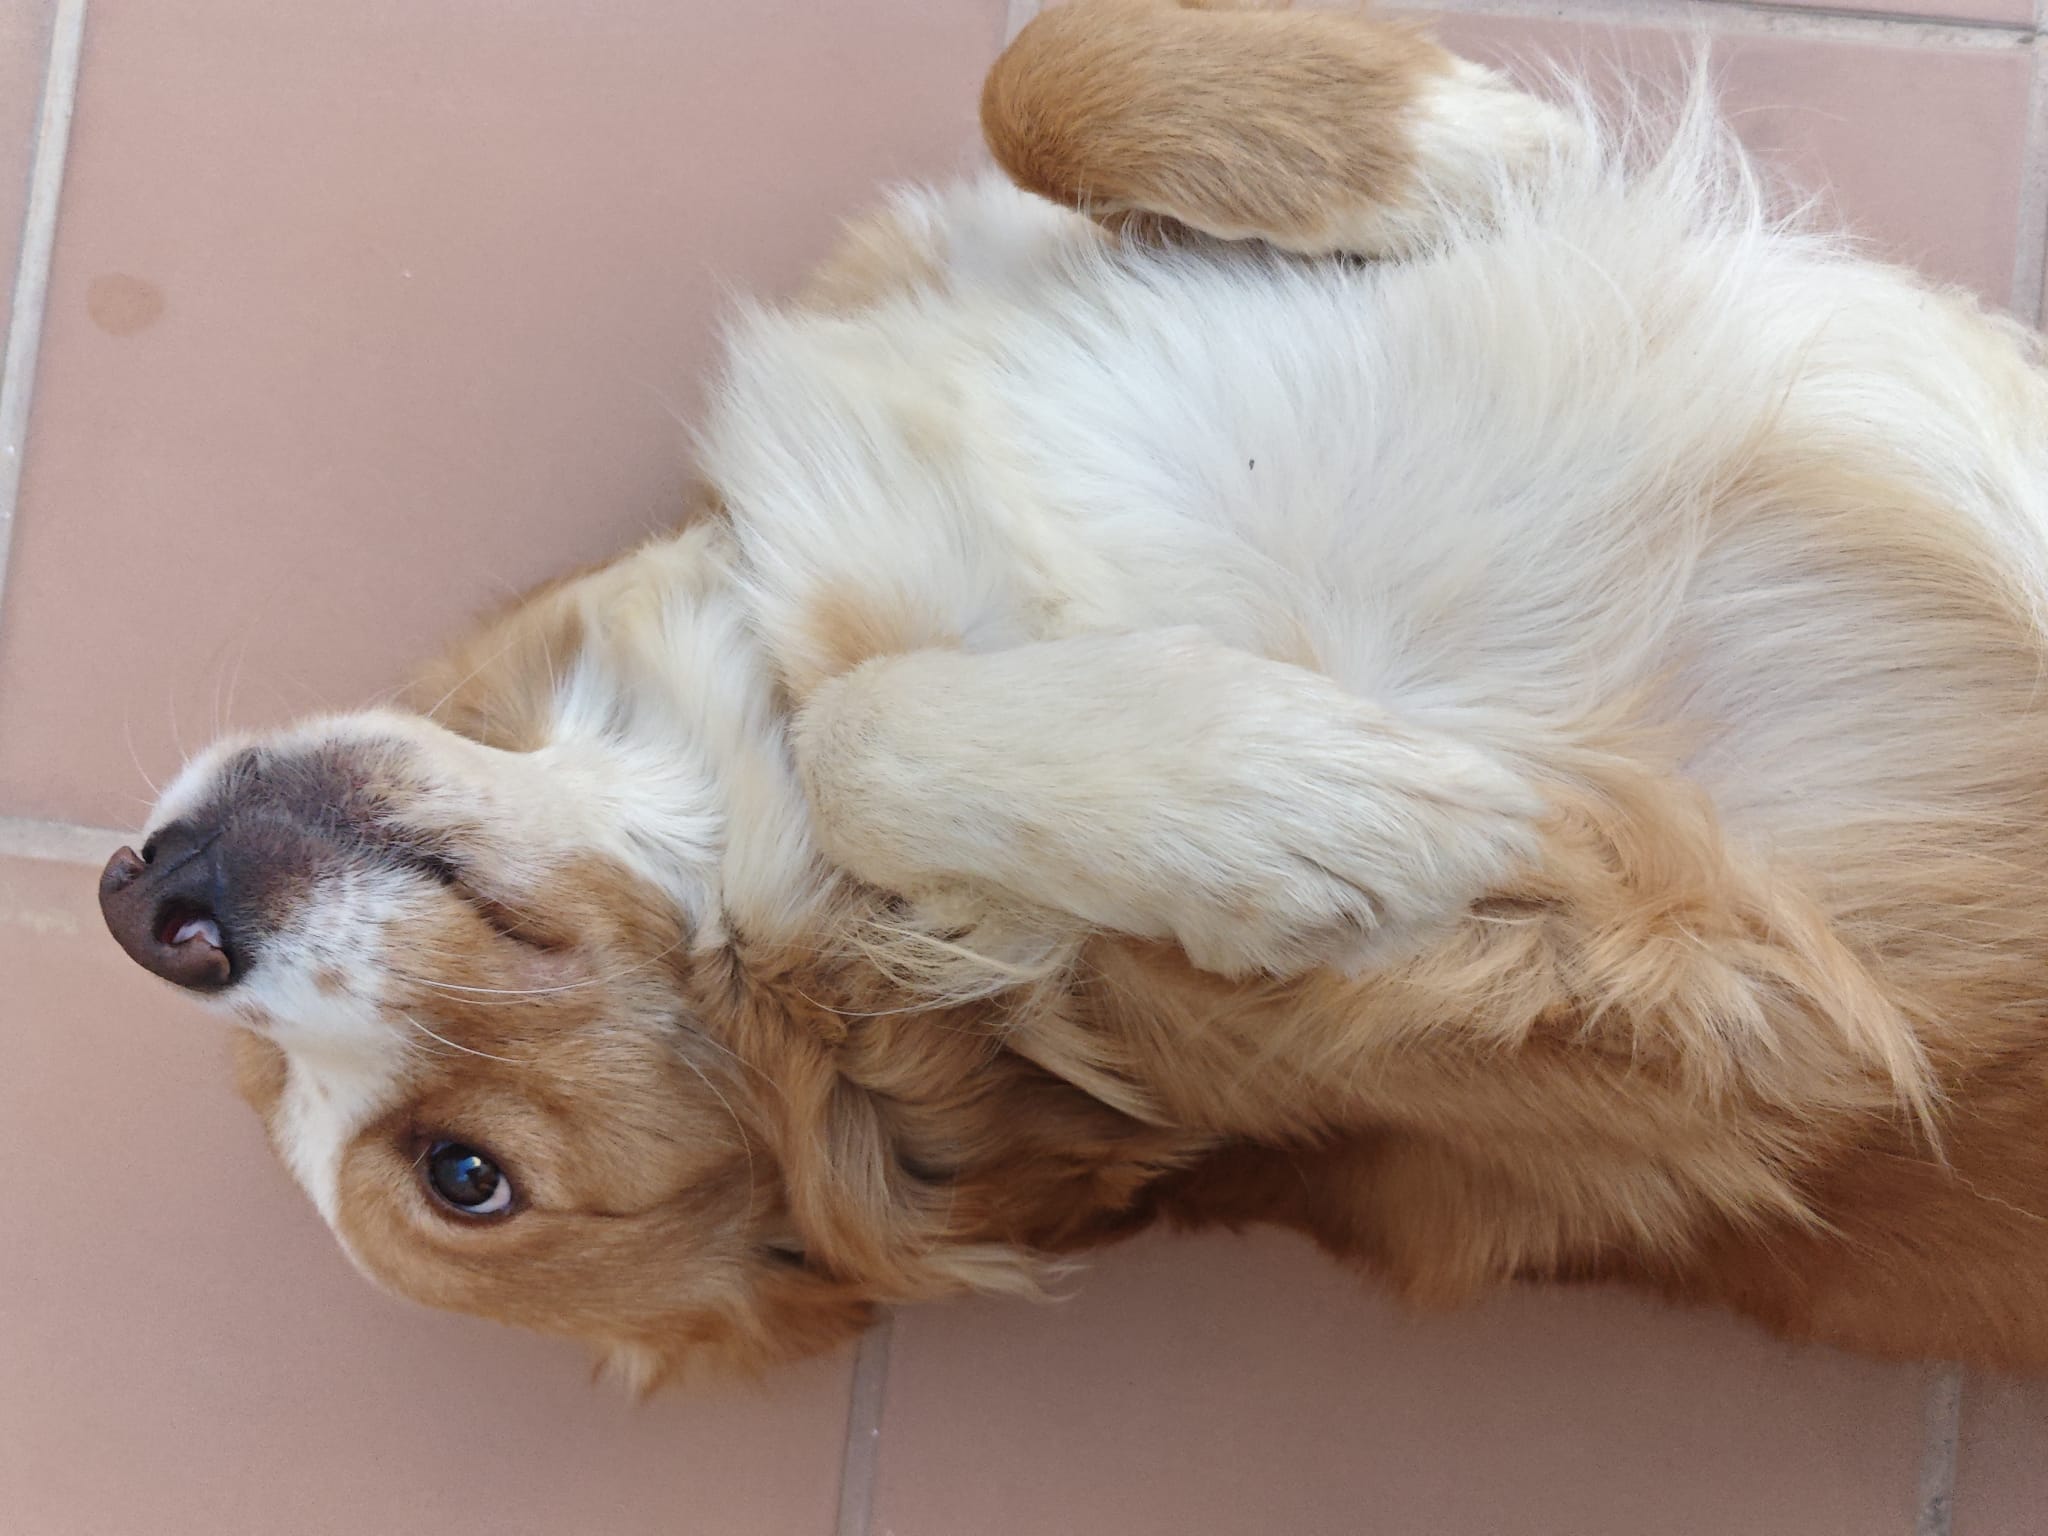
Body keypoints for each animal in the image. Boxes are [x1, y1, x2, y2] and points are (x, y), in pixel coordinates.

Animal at [97, 0, 2048, 1392]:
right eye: (466, 1177)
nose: (153, 908)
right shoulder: (1725, 1004)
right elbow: (873, 735)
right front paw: (1293, 805)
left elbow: (1040, 70)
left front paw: (1456, 145)